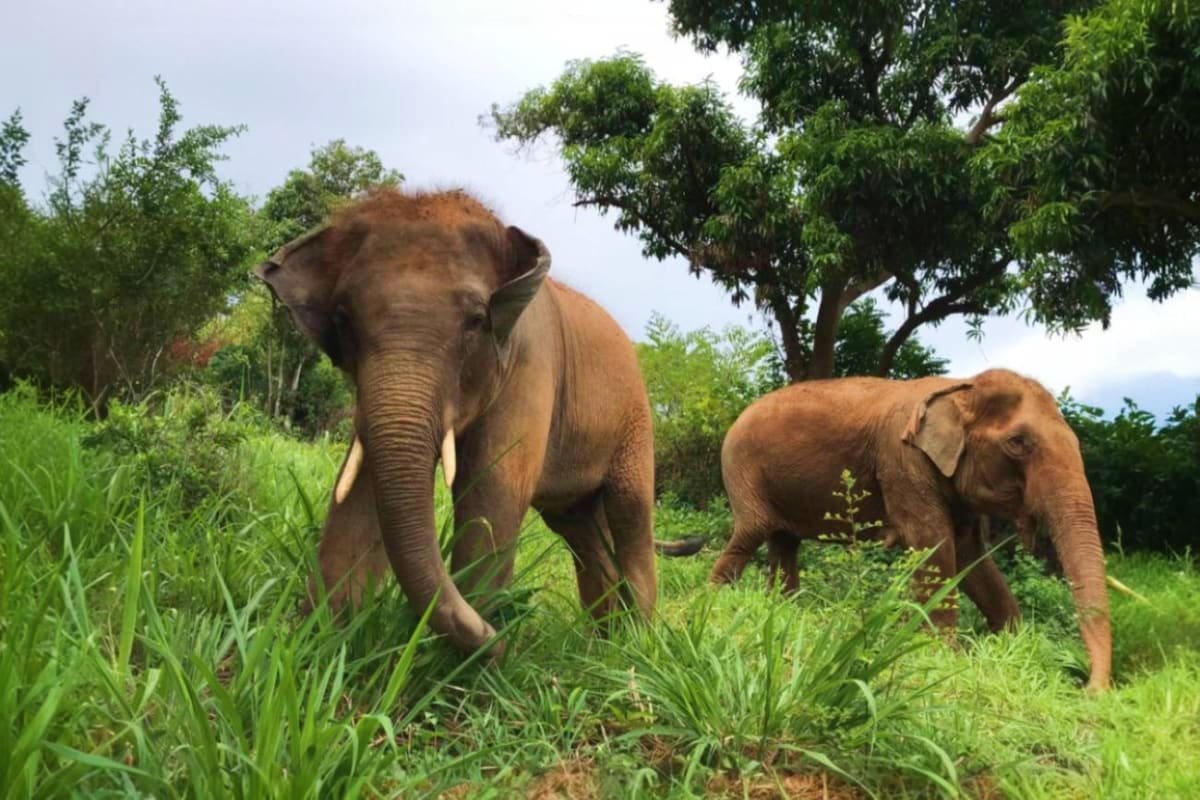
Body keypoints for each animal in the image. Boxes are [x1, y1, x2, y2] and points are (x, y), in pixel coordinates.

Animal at [256, 189, 700, 655]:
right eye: (343, 320)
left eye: (475, 321)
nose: (503, 636)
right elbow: (358, 490)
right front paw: (316, 646)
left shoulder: (530, 367)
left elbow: (491, 493)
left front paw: (467, 665)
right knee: (580, 530)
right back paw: (599, 647)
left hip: (636, 422)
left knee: (630, 517)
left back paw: (635, 648)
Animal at [708, 369, 1111, 691]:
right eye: (1018, 443)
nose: (1088, 689)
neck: (960, 388)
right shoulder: (903, 462)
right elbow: (935, 545)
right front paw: (945, 654)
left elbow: (971, 559)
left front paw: (1013, 644)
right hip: (742, 468)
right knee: (753, 531)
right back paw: (711, 599)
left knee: (783, 541)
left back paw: (786, 609)